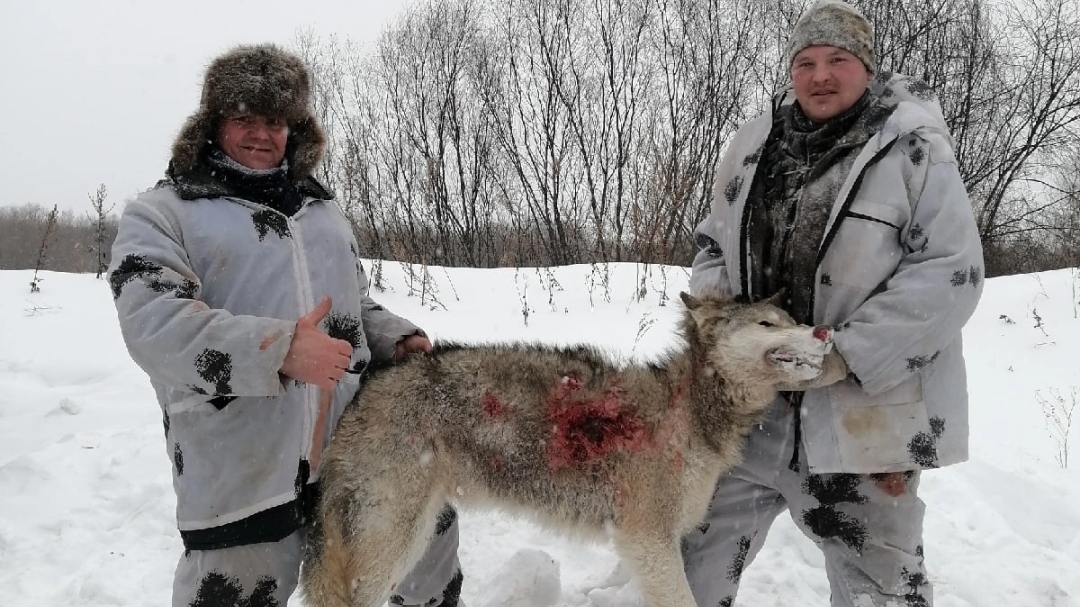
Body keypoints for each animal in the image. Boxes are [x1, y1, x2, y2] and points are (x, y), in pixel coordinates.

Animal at [302, 291, 842, 600]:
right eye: (767, 325)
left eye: (789, 318)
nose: (825, 330)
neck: (691, 409)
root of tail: (364, 391)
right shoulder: (648, 538)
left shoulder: (646, 544)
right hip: (395, 544)